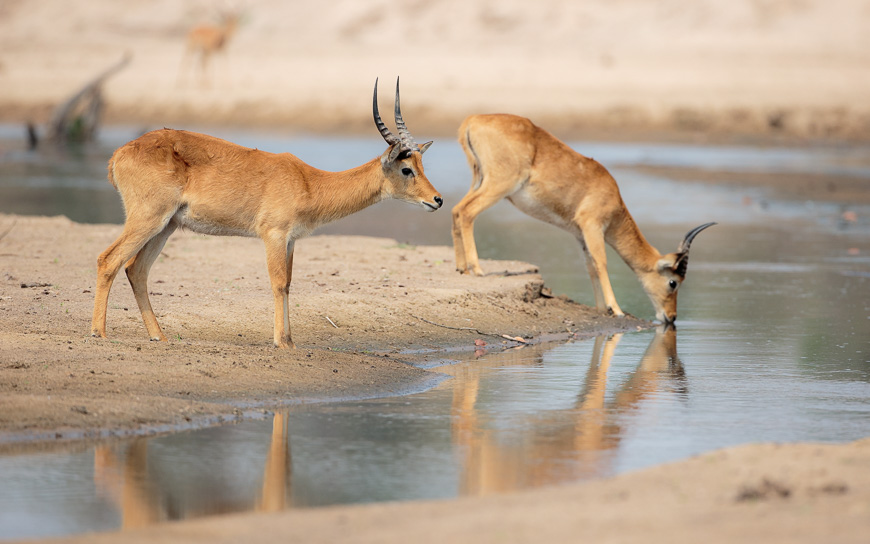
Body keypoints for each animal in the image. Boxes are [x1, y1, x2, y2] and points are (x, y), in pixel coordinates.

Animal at [92, 77, 442, 348]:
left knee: (136, 269)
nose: (437, 200)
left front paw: (290, 341)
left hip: (166, 226)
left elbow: (288, 283)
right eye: (407, 169)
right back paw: (100, 333)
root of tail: (120, 153)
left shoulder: (290, 240)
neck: (309, 182)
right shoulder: (273, 235)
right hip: (148, 218)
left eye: (422, 165)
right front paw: (279, 342)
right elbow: (277, 282)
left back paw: (159, 336)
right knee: (108, 259)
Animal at [454, 113, 720, 326]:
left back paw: (461, 268)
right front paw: (617, 309)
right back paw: (477, 269)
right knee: (467, 212)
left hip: (479, 180)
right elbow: (602, 262)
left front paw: (601, 308)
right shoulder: (593, 225)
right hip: (498, 185)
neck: (612, 196)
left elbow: (590, 266)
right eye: (673, 282)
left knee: (456, 209)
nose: (671, 317)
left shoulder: (579, 233)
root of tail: (473, 119)